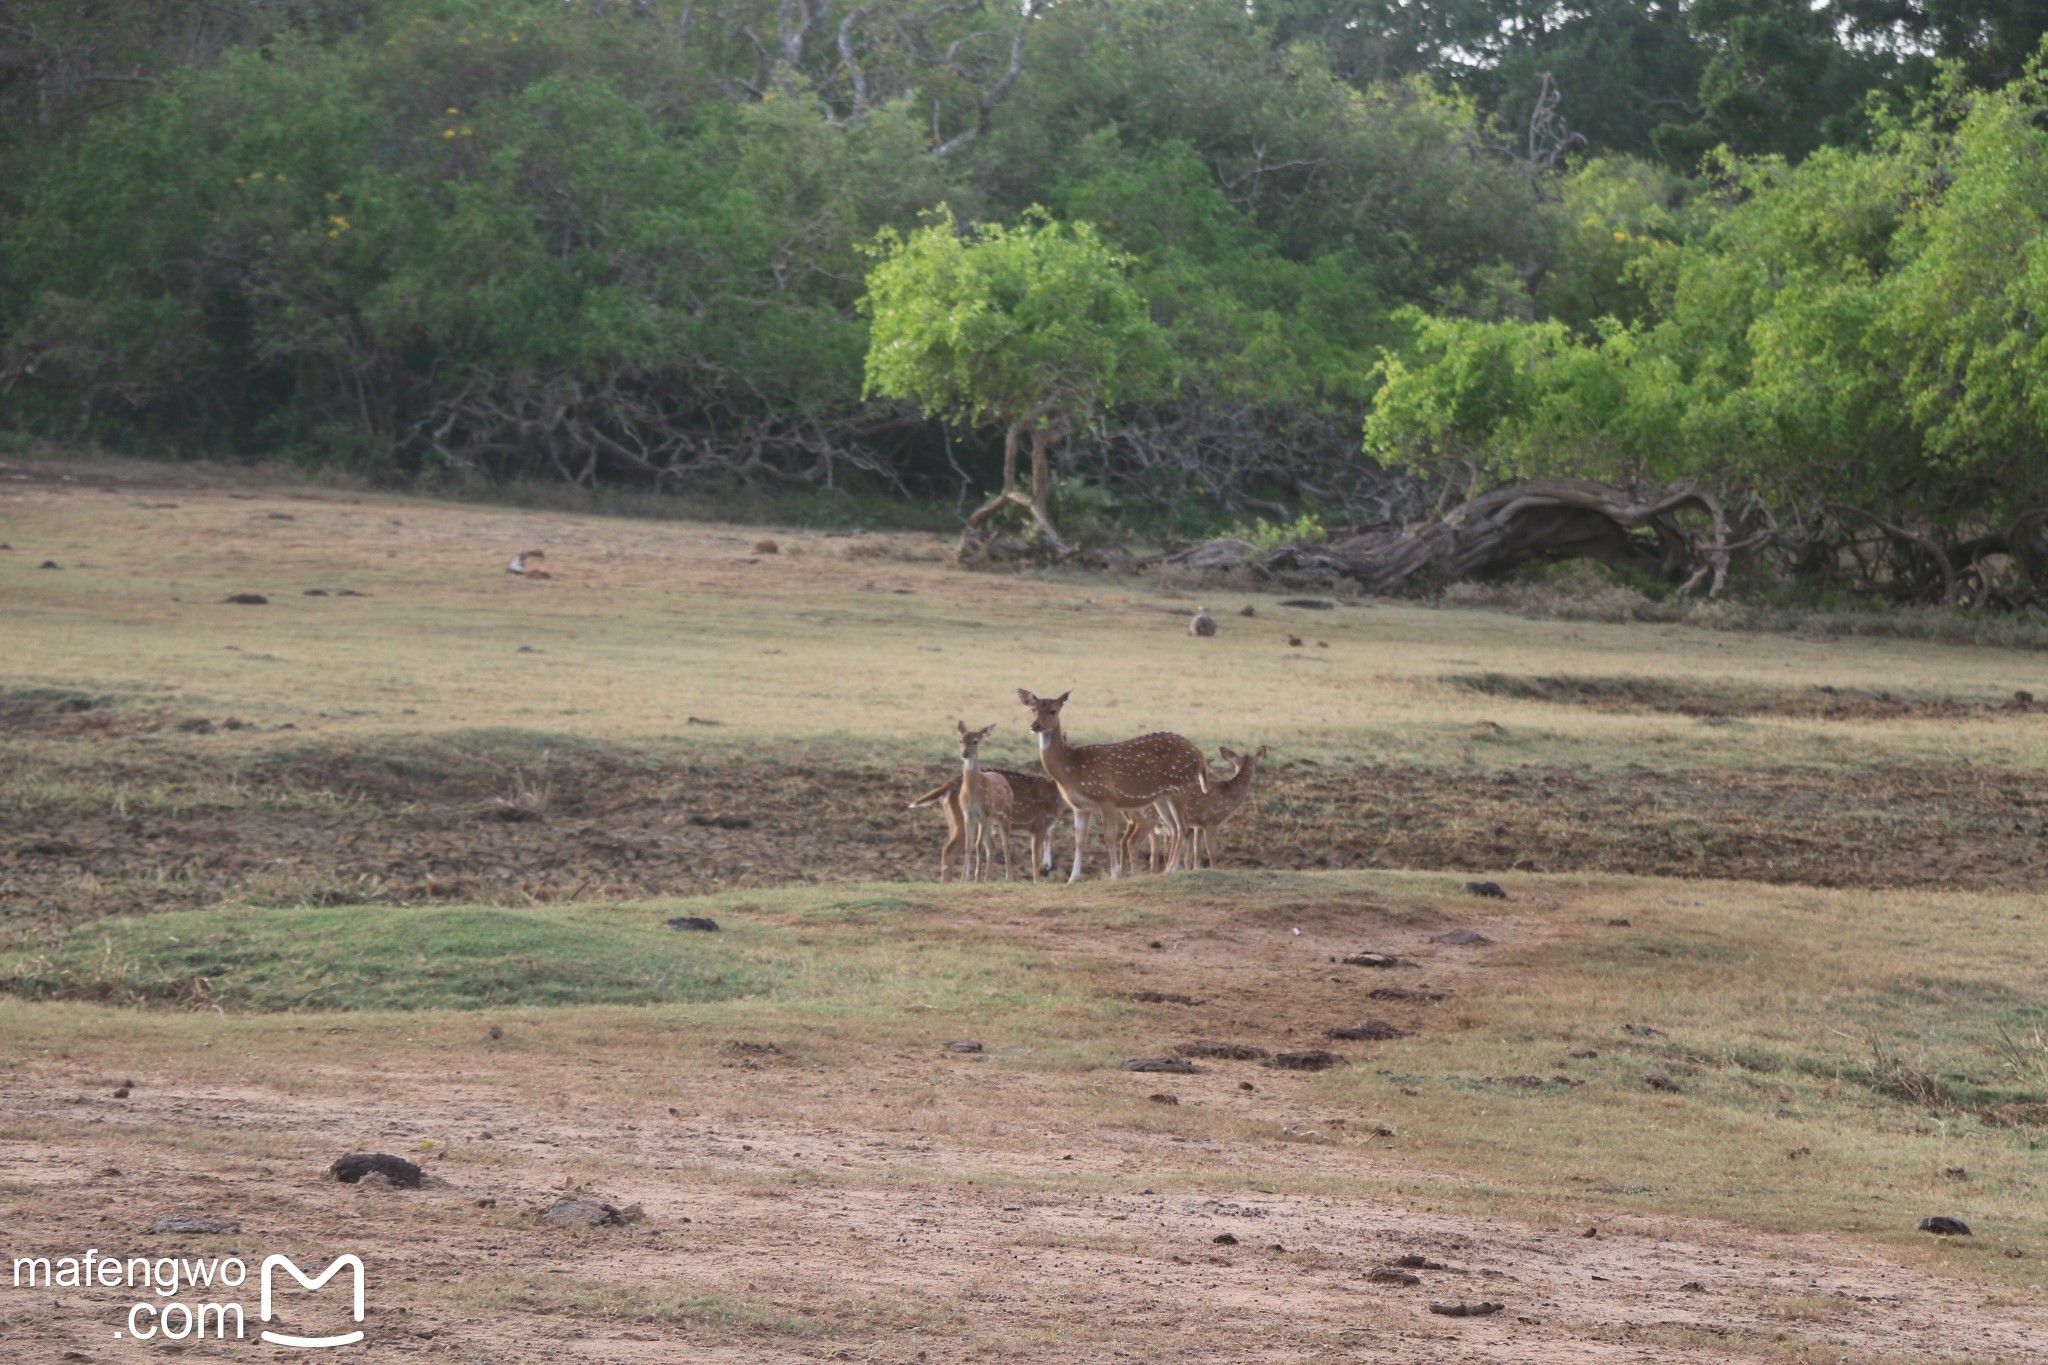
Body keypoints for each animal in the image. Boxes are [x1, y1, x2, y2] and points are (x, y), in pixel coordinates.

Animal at [1015, 683, 1204, 888]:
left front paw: (1115, 875)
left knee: (1183, 826)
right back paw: (1168, 869)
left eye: (1053, 710)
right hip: (1163, 797)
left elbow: (1110, 836)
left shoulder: (1106, 798)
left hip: (1181, 787)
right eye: (1033, 709)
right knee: (1174, 827)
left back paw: (1173, 868)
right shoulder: (1080, 807)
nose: (1035, 726)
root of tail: (1199, 754)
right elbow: (1079, 840)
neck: (1071, 770)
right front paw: (1072, 879)